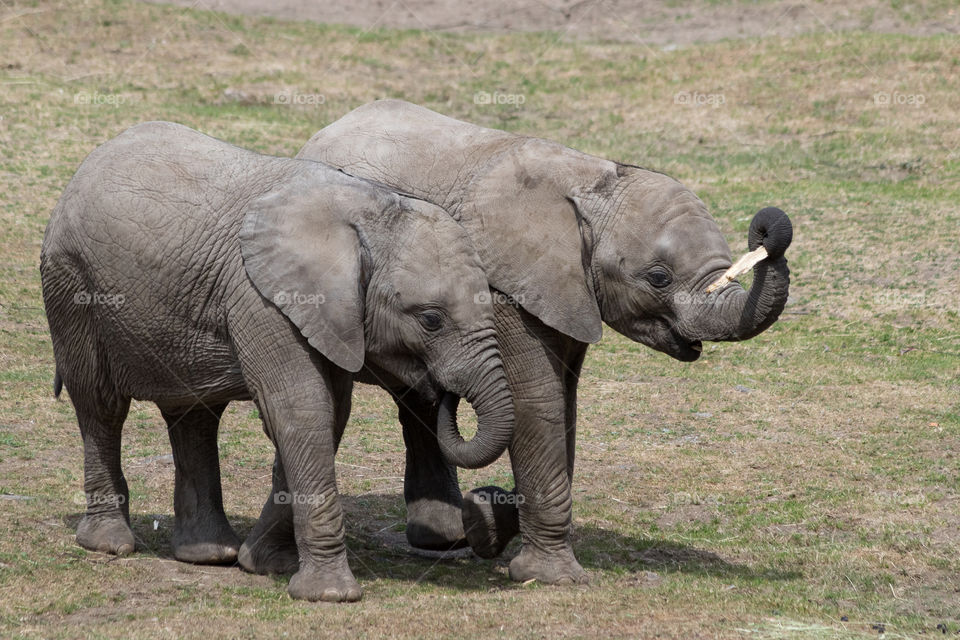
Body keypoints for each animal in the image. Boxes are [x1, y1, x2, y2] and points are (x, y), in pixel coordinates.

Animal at [40, 121, 515, 602]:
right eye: (431, 320)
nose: (441, 389)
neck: (369, 211)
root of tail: (85, 166)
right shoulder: (263, 298)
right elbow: (300, 409)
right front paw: (329, 596)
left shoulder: (328, 316)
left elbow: (328, 415)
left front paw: (264, 564)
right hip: (72, 286)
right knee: (100, 405)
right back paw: (110, 543)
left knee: (194, 416)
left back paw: (209, 554)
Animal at [239, 100, 794, 585]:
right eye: (658, 277)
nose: (767, 227)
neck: (590, 179)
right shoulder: (505, 287)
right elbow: (535, 401)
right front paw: (543, 572)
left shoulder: (567, 291)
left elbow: (563, 406)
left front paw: (489, 520)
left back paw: (445, 535)